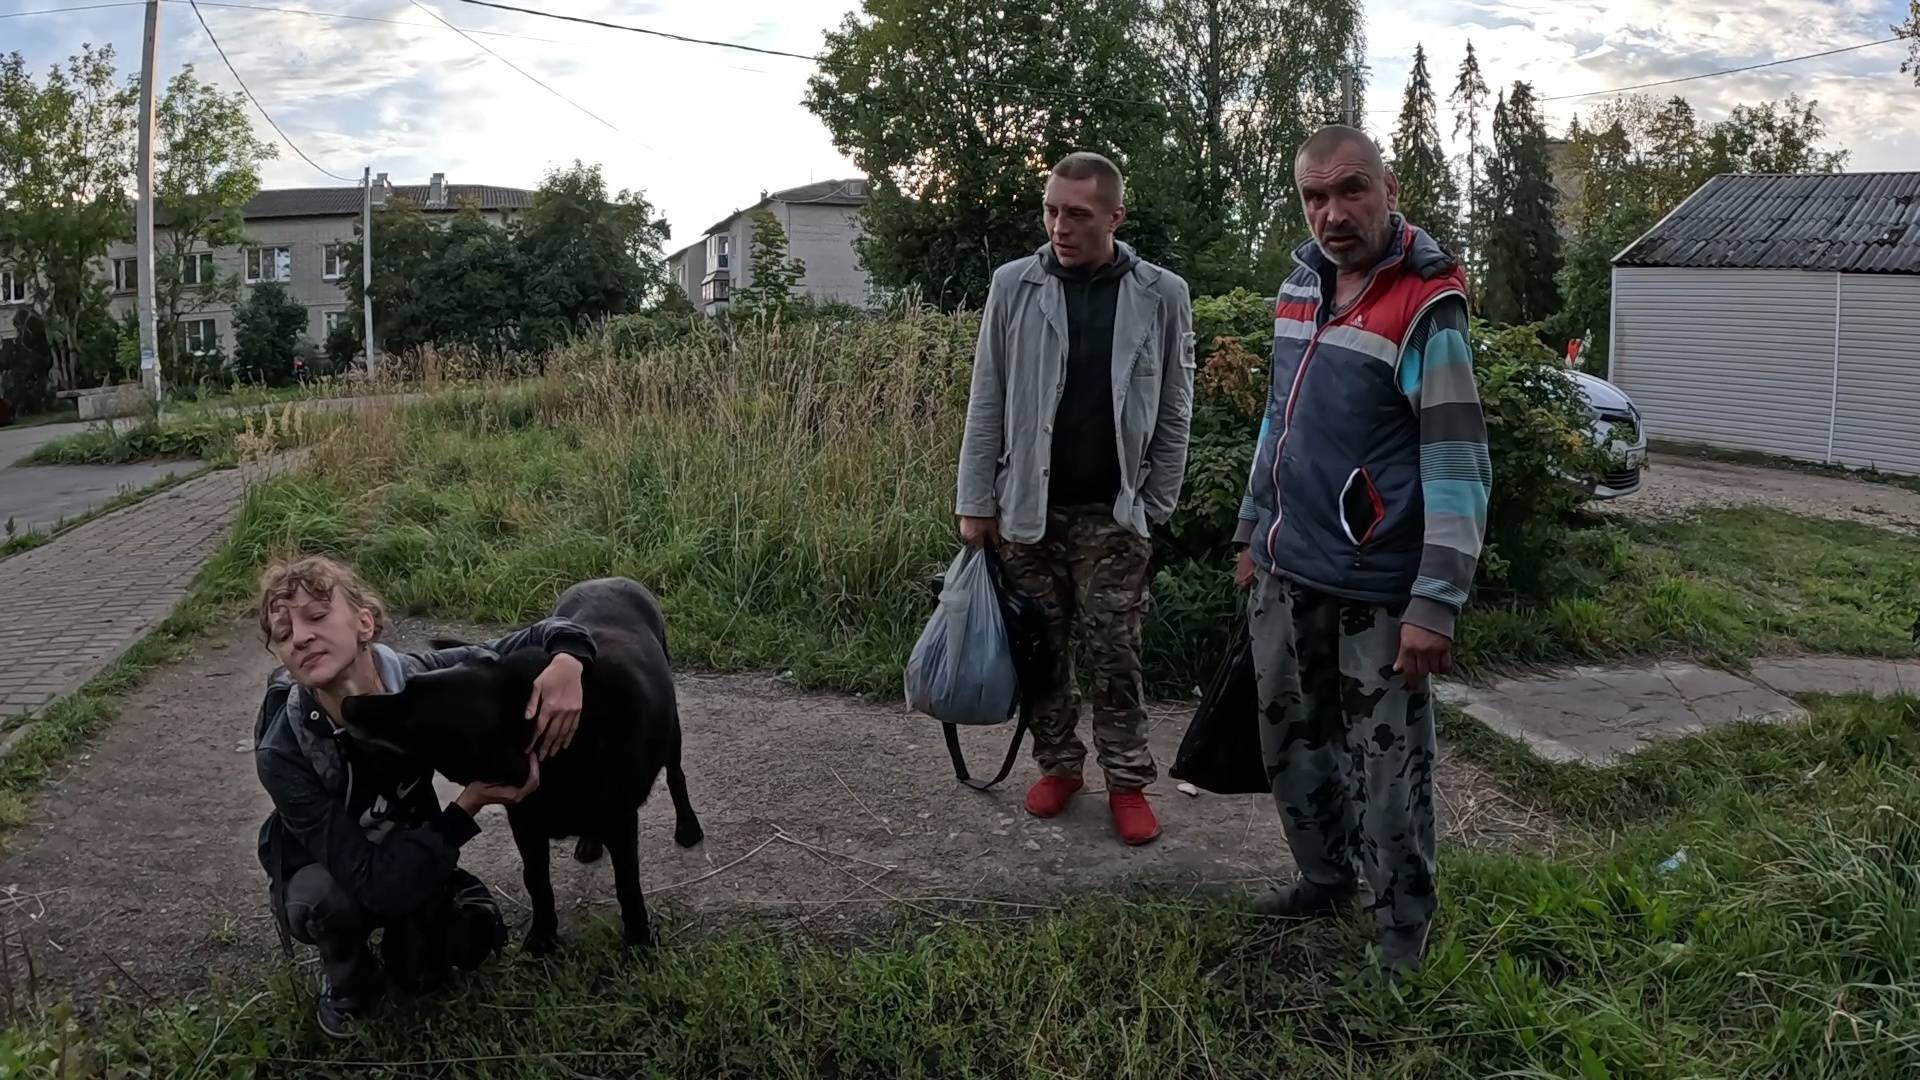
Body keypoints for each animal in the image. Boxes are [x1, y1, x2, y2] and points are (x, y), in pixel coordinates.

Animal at [342, 577, 702, 954]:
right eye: (404, 686)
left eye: (412, 719)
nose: (347, 702)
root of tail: (608, 579)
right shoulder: (525, 823)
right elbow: (537, 881)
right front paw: (543, 935)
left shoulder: (620, 822)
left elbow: (628, 884)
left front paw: (638, 941)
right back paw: (589, 843)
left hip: (672, 735)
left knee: (676, 776)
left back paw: (688, 826)